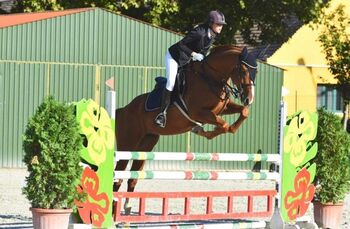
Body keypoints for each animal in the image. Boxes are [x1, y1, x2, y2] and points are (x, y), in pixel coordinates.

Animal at [114, 45, 258, 214]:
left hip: (146, 145)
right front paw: (204, 131)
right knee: (118, 174)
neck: (211, 78)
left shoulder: (222, 108)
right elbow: (223, 125)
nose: (249, 99)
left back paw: (127, 206)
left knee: (132, 177)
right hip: (128, 144)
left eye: (256, 71)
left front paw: (226, 127)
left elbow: (243, 112)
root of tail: (123, 110)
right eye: (243, 70)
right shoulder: (199, 113)